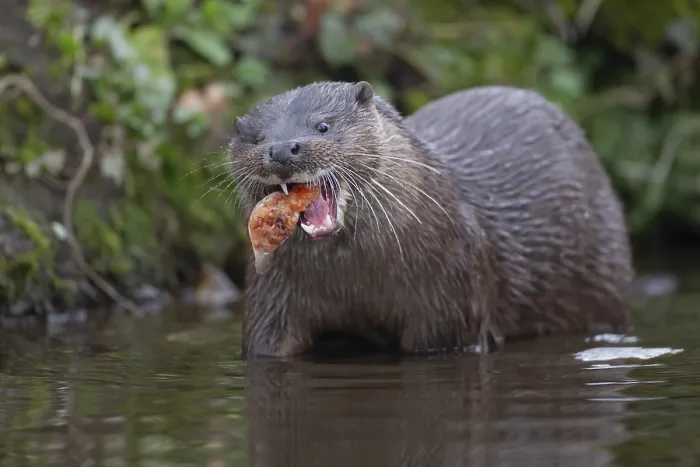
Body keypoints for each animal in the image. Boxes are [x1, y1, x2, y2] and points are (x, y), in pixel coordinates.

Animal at [227, 81, 633, 358]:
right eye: (257, 138)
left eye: (323, 126)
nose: (283, 149)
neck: (354, 280)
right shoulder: (272, 297)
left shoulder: (449, 303)